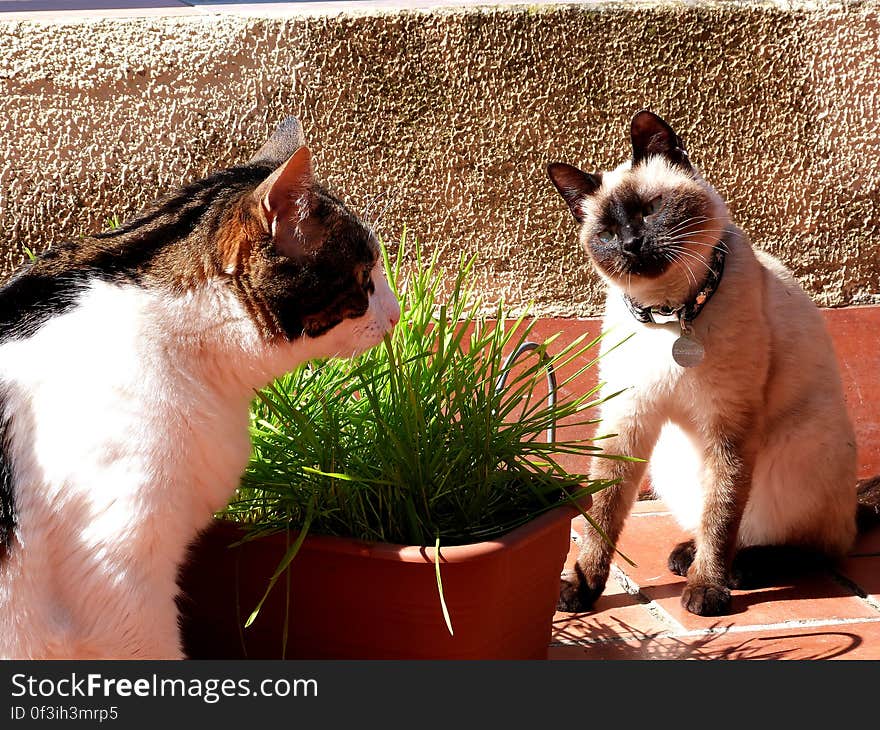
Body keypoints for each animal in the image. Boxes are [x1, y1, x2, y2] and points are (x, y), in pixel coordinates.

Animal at [548, 111, 876, 616]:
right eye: (605, 234)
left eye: (650, 209)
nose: (631, 244)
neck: (669, 315)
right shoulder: (627, 419)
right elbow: (603, 512)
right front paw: (580, 586)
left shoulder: (731, 422)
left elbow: (721, 516)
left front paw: (707, 591)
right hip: (670, 460)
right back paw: (687, 555)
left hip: (797, 447)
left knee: (813, 545)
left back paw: (739, 569)